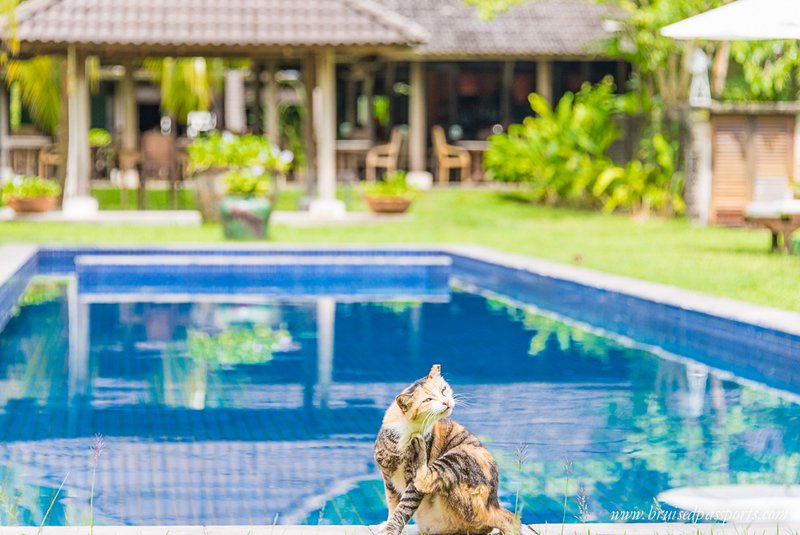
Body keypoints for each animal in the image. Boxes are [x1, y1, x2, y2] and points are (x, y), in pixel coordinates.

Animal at [372, 364, 516, 535]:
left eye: (443, 389)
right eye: (428, 400)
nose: (446, 402)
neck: (407, 429)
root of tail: (493, 506)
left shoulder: (412, 485)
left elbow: (403, 507)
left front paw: (391, 529)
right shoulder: (388, 477)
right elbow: (392, 503)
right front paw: (387, 523)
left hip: (460, 455)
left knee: (425, 478)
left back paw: (419, 445)